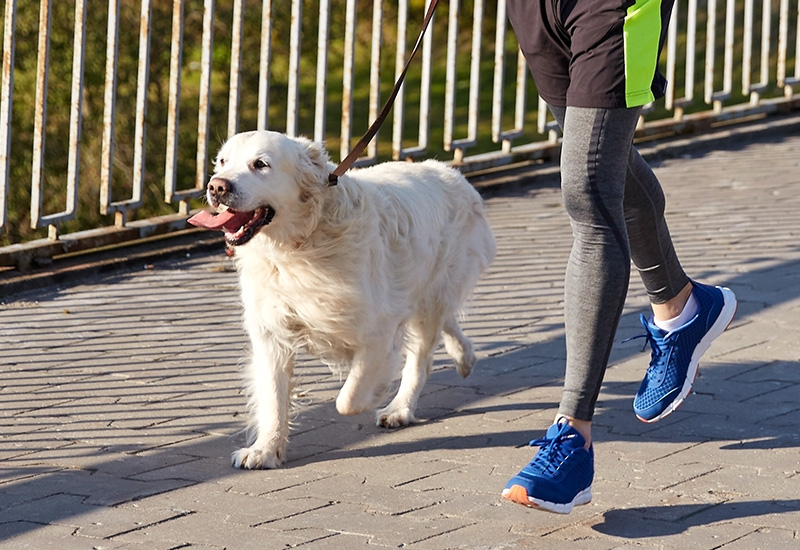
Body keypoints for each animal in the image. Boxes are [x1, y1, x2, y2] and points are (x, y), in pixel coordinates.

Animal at [191, 133, 496, 470]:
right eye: (222, 161)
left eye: (261, 164)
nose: (217, 187)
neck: (297, 246)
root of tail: (451, 173)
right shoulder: (271, 333)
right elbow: (273, 397)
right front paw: (265, 450)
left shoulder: (379, 330)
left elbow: (347, 400)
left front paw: (376, 392)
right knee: (447, 323)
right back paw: (464, 356)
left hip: (433, 291)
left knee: (421, 356)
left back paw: (400, 408)